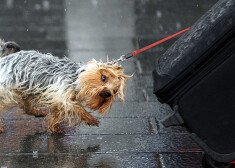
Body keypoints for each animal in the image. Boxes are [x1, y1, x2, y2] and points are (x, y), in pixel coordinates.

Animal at [0, 41, 130, 133]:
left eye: (115, 90)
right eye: (103, 78)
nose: (108, 93)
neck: (75, 78)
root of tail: (5, 58)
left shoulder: (56, 97)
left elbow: (57, 112)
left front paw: (54, 126)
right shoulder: (62, 95)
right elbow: (77, 108)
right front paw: (91, 119)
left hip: (27, 89)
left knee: (26, 106)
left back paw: (37, 112)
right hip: (8, 91)